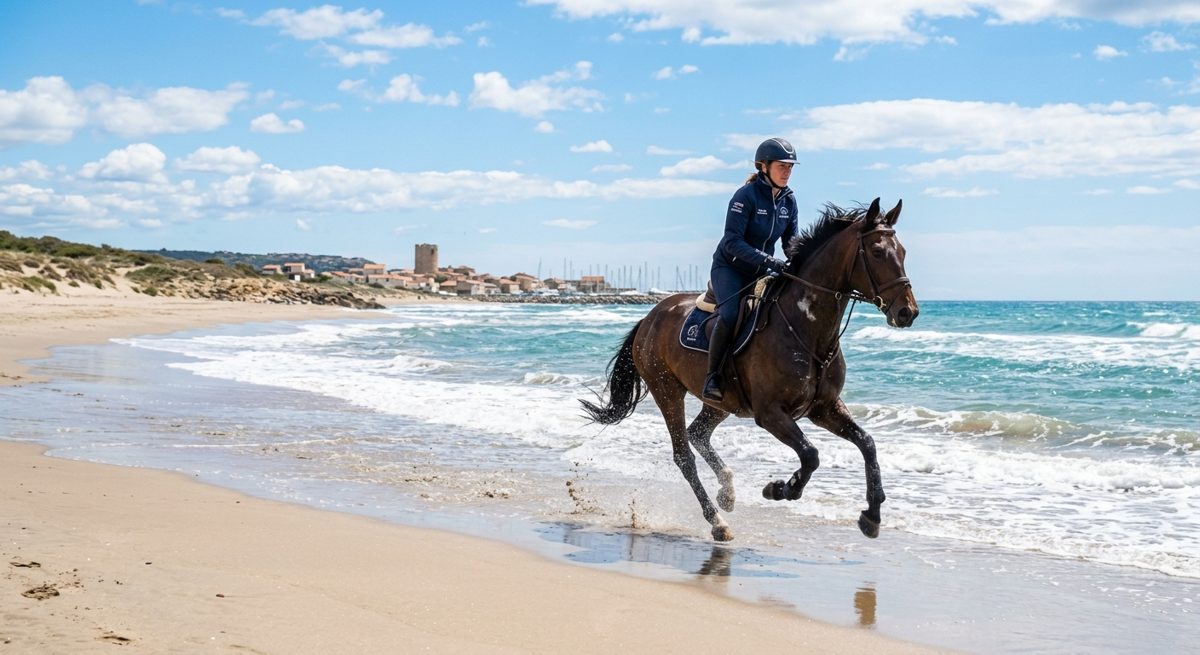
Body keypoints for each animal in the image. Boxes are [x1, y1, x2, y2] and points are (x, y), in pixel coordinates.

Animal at [580, 198, 918, 542]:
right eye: (876, 252)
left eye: (902, 252)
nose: (908, 312)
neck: (807, 328)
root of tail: (649, 317)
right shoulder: (770, 413)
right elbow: (811, 455)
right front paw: (779, 488)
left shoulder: (825, 408)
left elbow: (867, 444)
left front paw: (872, 516)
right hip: (667, 391)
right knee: (684, 455)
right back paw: (718, 521)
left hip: (721, 402)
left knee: (698, 433)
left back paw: (727, 492)